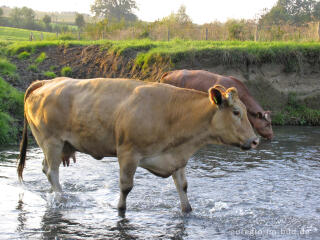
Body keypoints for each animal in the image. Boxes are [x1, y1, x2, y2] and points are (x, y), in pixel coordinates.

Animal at [17, 77, 258, 216]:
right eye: (236, 112)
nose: (255, 140)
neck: (171, 113)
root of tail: (45, 82)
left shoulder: (177, 157)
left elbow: (183, 187)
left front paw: (187, 210)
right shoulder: (128, 153)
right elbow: (126, 187)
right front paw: (120, 209)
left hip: (58, 144)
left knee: (46, 169)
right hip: (51, 141)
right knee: (52, 171)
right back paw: (61, 198)